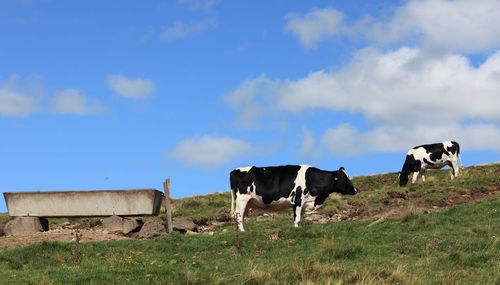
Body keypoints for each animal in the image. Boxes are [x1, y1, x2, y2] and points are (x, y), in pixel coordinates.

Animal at [229, 164, 358, 231]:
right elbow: (296, 218)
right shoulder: (297, 200)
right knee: (238, 215)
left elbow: (300, 219)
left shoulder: (304, 203)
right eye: (344, 178)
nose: (355, 190)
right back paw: (243, 231)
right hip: (241, 199)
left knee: (241, 216)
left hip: (248, 202)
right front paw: (296, 230)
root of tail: (233, 171)